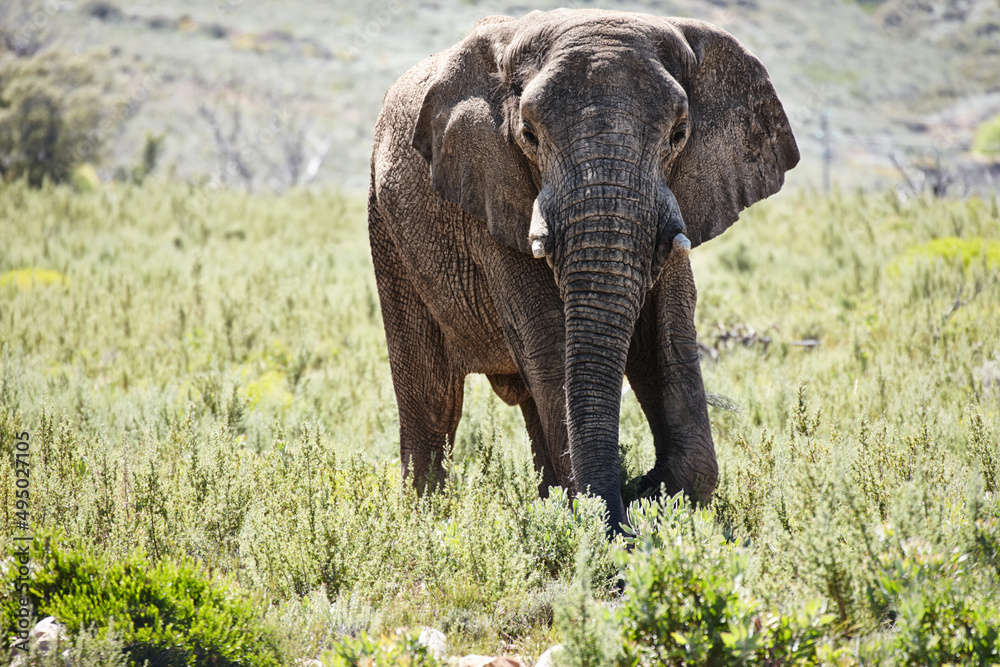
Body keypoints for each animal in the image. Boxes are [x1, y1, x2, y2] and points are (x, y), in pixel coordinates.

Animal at [368, 9, 796, 532]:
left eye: (679, 135)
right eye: (529, 136)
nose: (634, 492)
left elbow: (665, 335)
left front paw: (653, 497)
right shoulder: (491, 195)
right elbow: (550, 338)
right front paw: (611, 513)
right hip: (387, 231)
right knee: (433, 402)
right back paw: (426, 524)